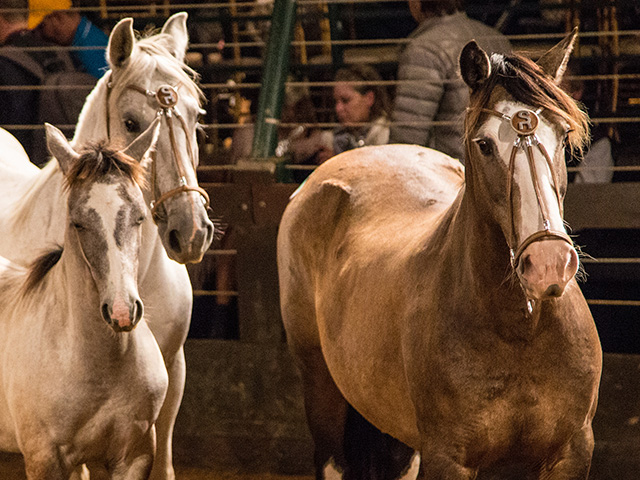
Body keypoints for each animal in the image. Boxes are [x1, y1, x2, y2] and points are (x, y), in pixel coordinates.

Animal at [278, 31, 604, 480]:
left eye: (563, 135)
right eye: (484, 144)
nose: (549, 264)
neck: (520, 328)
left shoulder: (570, 453)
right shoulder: (448, 456)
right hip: (321, 386)